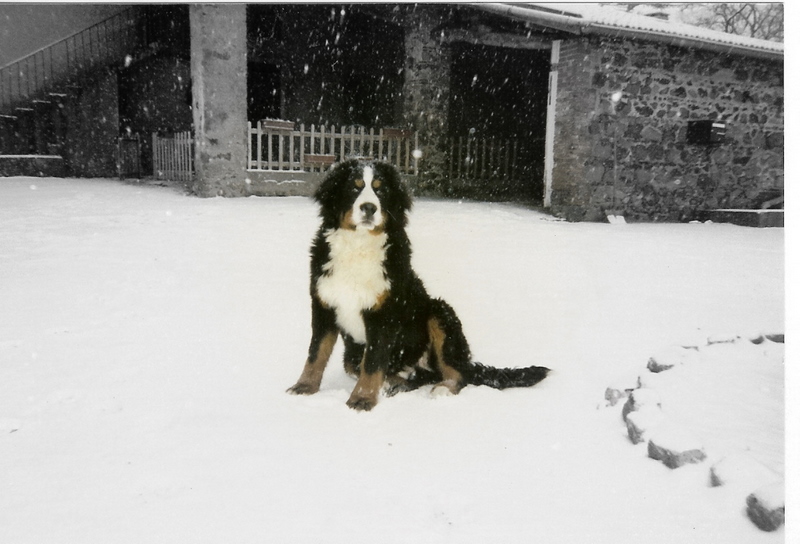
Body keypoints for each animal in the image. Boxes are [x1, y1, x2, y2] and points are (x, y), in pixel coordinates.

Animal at [288, 159, 552, 410]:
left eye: (380, 190)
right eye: (354, 187)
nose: (369, 208)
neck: (358, 246)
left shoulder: (383, 315)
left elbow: (372, 362)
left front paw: (362, 399)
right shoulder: (323, 305)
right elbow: (316, 354)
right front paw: (304, 387)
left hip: (439, 312)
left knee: (456, 373)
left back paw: (440, 388)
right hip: (354, 353)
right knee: (394, 372)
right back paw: (398, 382)